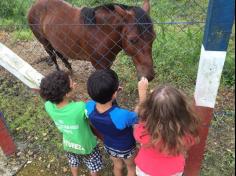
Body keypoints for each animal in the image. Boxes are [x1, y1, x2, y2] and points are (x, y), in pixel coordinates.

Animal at [27, 0, 156, 80]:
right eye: (132, 40)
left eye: (153, 38)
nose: (149, 76)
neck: (100, 32)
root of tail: (34, 5)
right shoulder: (99, 65)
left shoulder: (107, 64)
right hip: (45, 42)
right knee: (53, 55)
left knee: (60, 53)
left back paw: (69, 69)